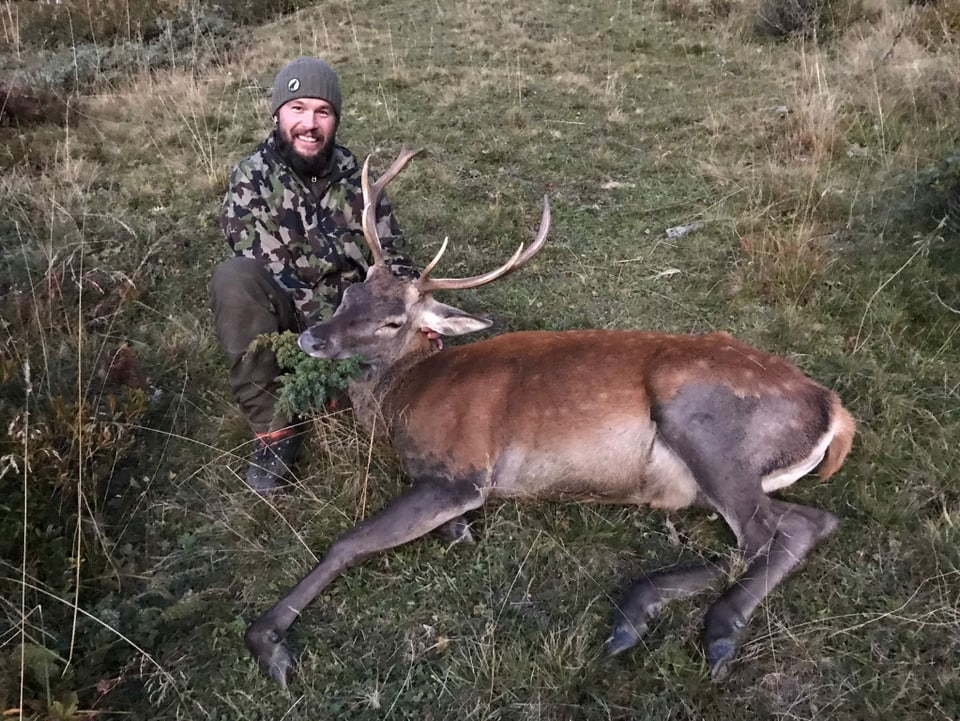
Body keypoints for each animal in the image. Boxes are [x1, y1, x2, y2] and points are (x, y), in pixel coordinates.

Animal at [244, 146, 860, 688]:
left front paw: (268, 640)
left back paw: (692, 626)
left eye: (394, 321)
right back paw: (643, 614)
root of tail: (834, 409)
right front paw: (459, 532)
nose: (313, 337)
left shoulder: (463, 470)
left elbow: (347, 544)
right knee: (803, 523)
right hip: (711, 474)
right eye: (352, 292)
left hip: (703, 421)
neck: (404, 399)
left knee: (758, 536)